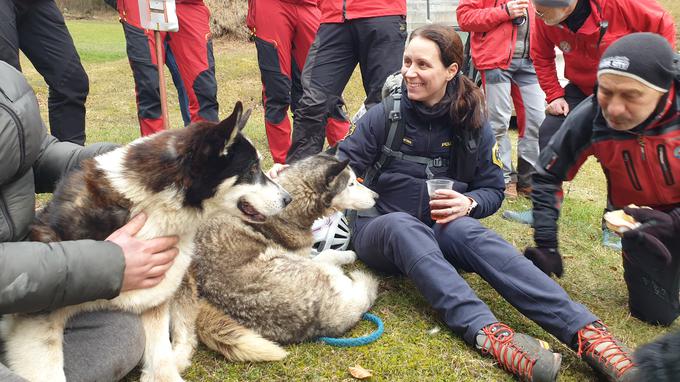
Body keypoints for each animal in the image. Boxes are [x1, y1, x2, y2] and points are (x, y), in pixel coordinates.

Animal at [0, 102, 290, 382]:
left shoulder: (155, 298)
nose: (289, 199)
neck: (155, 205)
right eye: (252, 169)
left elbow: (161, 361)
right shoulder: (39, 322)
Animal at [187, 154, 378, 362]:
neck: (288, 210)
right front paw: (348, 254)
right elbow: (327, 253)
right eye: (351, 183)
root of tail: (325, 317)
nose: (376, 197)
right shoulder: (305, 255)